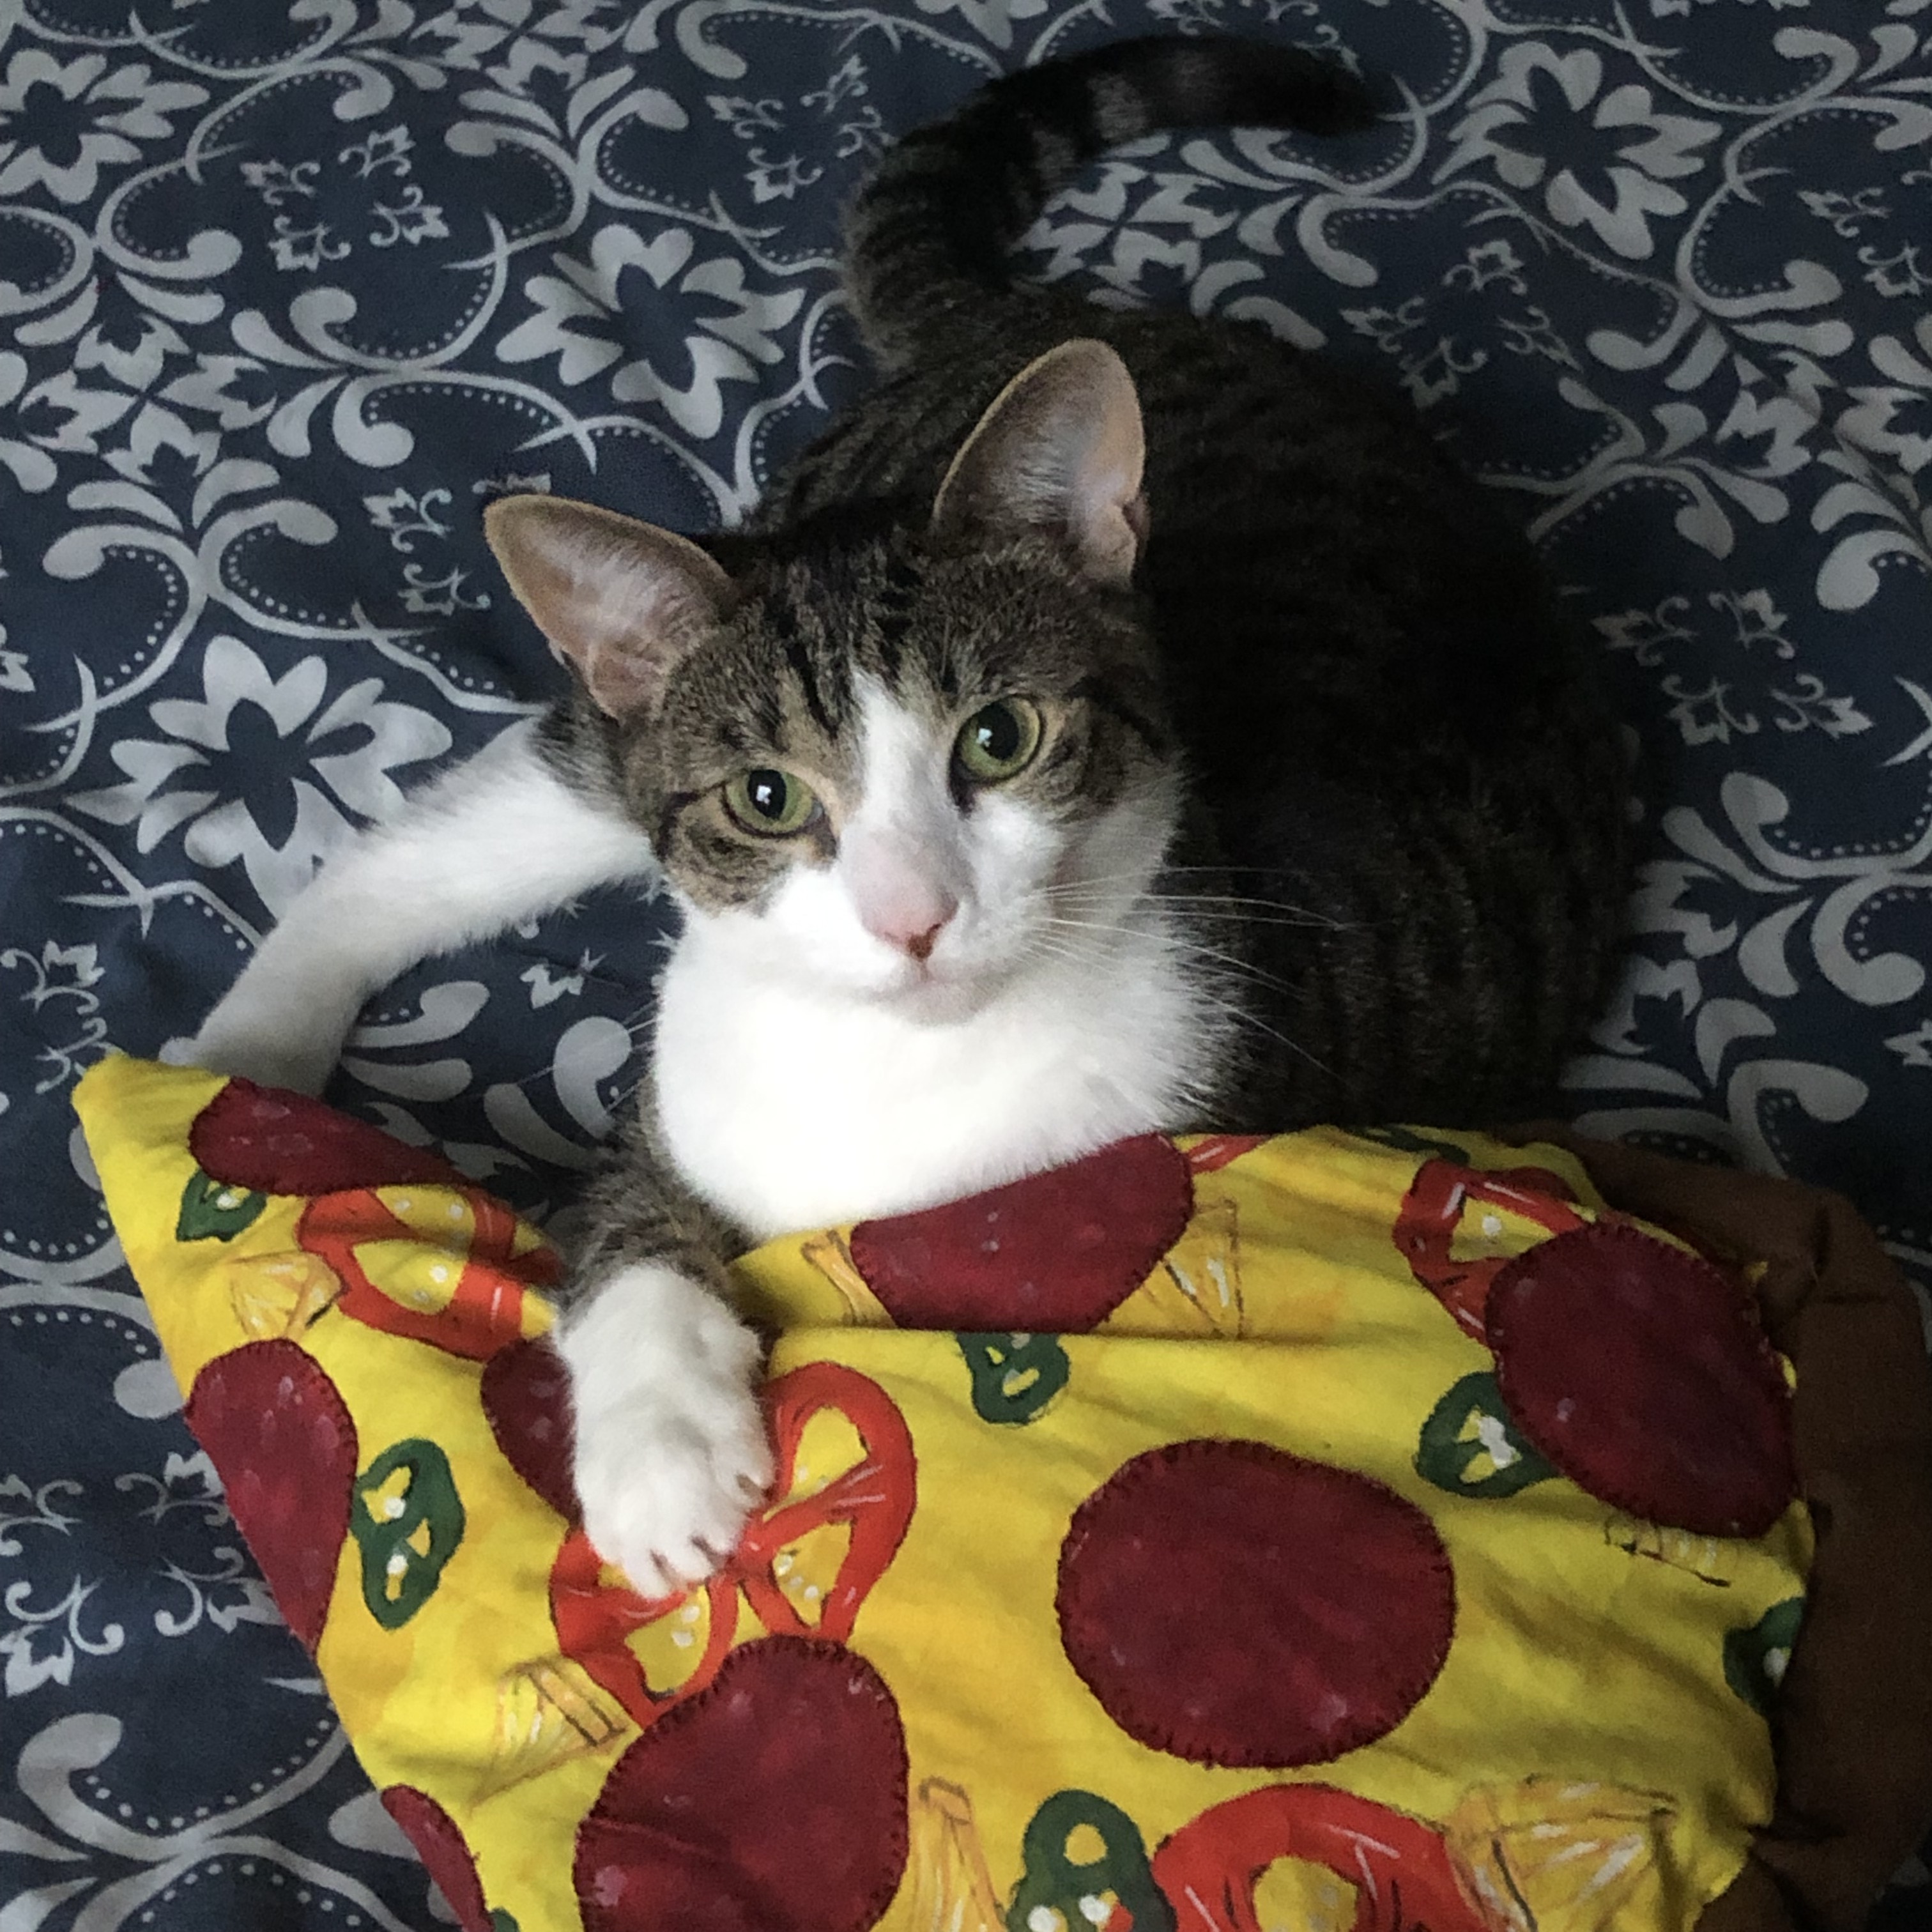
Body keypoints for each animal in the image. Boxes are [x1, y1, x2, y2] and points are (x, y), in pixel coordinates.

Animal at [188, 34, 1630, 1599]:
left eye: (999, 739)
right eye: (766, 798)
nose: (913, 914)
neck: (885, 1079)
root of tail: (1067, 313)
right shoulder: (684, 1084)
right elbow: (624, 1220)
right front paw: (659, 1450)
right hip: (623, 715)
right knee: (429, 849)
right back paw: (243, 1063)